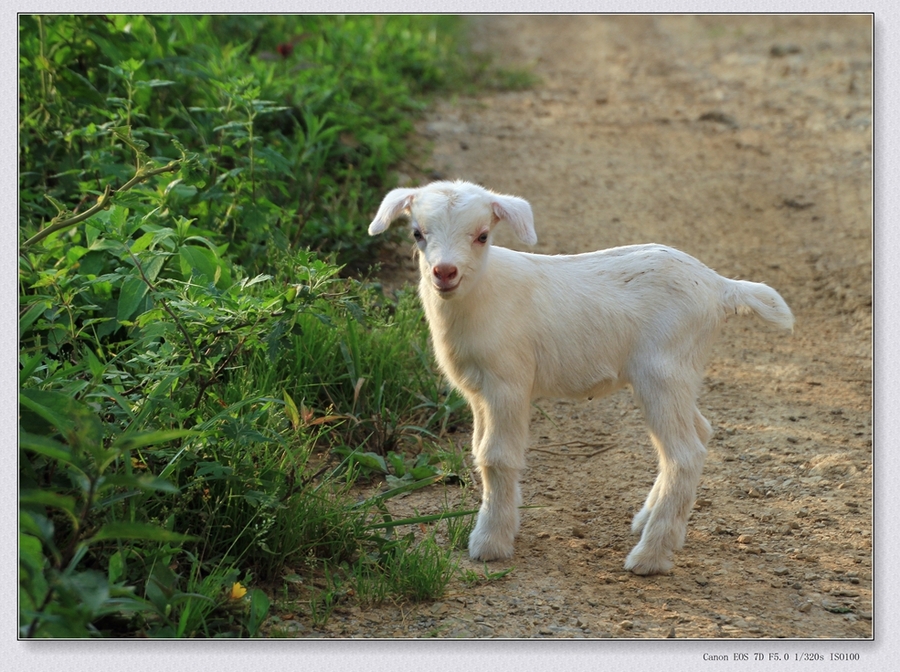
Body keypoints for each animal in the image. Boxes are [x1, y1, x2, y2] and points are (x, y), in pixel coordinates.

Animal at [370, 181, 792, 576]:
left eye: (483, 235)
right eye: (417, 233)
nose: (445, 272)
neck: (480, 297)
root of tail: (720, 287)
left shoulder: (507, 382)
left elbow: (496, 456)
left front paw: (490, 542)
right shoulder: (477, 391)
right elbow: (478, 450)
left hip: (662, 371)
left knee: (685, 455)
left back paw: (650, 557)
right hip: (680, 374)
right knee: (700, 432)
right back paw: (652, 524)